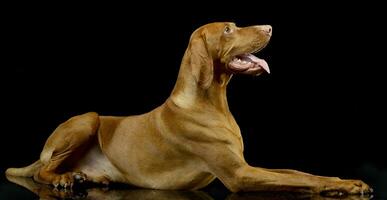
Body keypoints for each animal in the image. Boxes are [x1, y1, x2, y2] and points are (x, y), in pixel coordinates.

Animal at [5, 22, 370, 197]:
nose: (269, 27)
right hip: (87, 119)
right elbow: (298, 180)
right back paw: (63, 179)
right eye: (228, 29)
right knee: (41, 170)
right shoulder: (239, 175)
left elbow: (299, 172)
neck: (214, 104)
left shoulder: (246, 164)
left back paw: (87, 177)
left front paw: (345, 180)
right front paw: (347, 187)